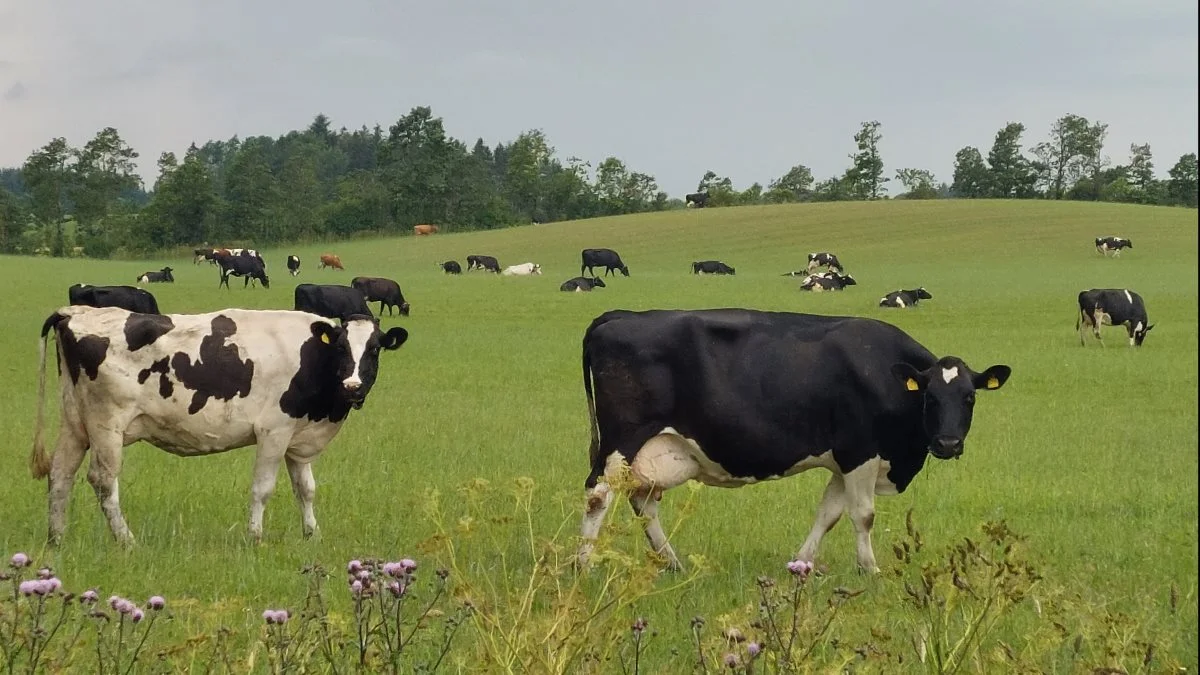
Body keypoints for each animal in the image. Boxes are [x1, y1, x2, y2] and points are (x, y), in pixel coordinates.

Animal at [30, 305, 410, 547]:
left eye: (374, 350)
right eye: (342, 347)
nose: (353, 386)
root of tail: (75, 311)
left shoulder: (297, 437)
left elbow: (306, 489)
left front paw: (311, 535)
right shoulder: (274, 431)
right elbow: (263, 488)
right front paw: (255, 537)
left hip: (75, 423)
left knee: (60, 474)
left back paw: (56, 538)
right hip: (106, 423)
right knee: (103, 480)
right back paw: (126, 540)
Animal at [576, 307, 1008, 569]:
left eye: (969, 398)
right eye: (930, 398)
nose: (948, 444)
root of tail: (618, 315)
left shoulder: (842, 460)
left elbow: (828, 513)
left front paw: (802, 563)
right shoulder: (860, 452)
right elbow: (863, 514)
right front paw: (869, 568)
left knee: (643, 502)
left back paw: (672, 563)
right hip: (622, 440)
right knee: (599, 495)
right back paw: (584, 563)